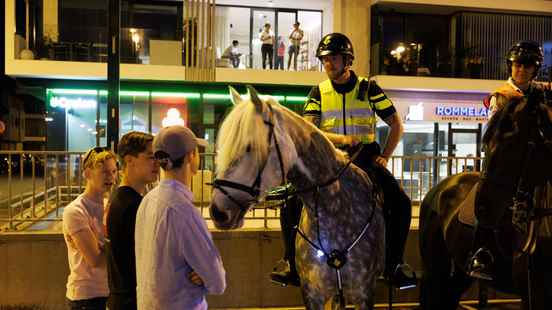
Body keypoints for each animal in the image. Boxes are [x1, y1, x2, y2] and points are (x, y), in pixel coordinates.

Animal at [418, 95, 552, 308]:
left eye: (511, 144)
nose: (482, 207)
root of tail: (438, 188)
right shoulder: (533, 294)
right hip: (435, 271)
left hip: (457, 277)